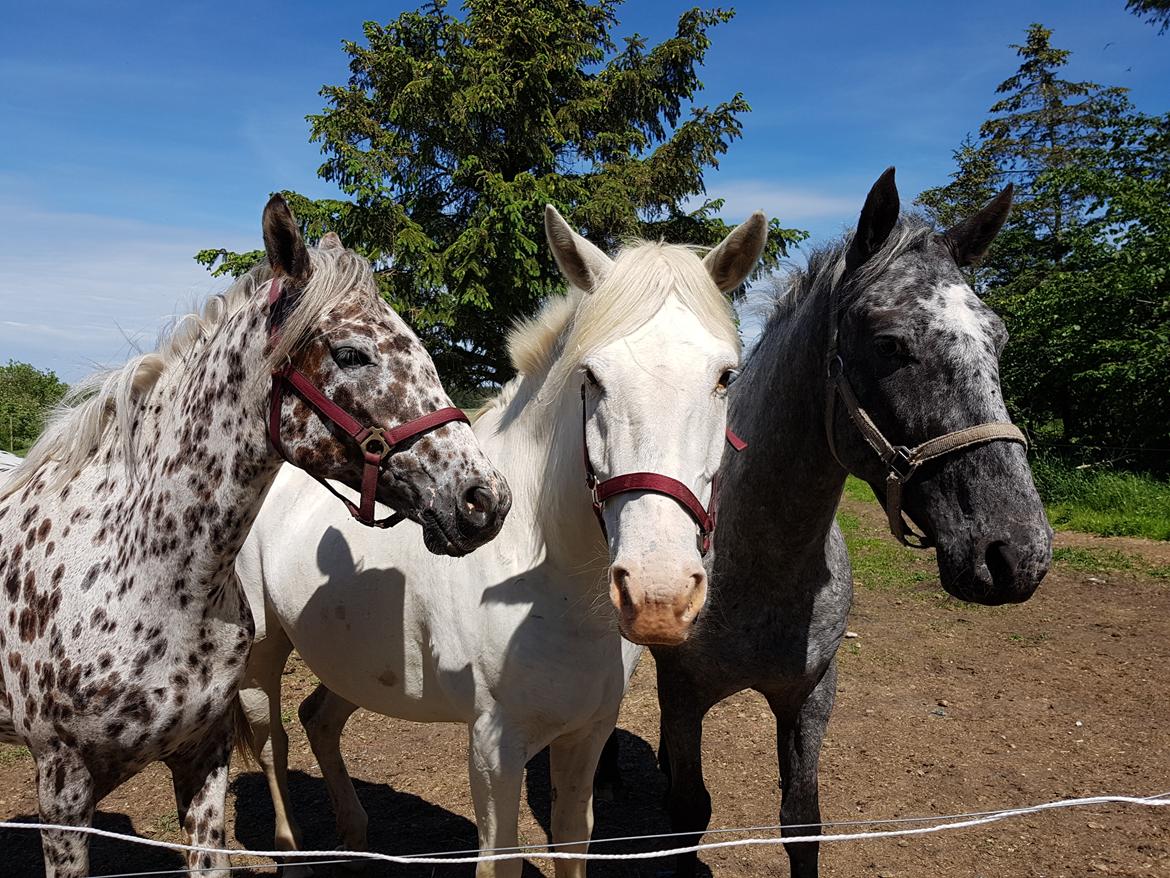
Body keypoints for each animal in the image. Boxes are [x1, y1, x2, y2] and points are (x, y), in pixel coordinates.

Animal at [235, 204, 767, 875]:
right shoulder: (494, 749)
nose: (658, 596)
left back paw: (354, 835)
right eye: (592, 377)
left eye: (725, 377)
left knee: (318, 721)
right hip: (261, 655)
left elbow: (572, 842)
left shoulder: (587, 736)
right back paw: (294, 852)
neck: (548, 588)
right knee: (271, 740)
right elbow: (502, 857)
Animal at [608, 168, 1057, 875]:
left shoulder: (810, 695)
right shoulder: (684, 693)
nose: (1016, 552)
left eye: (1000, 339)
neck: (757, 567)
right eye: (889, 344)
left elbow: (802, 821)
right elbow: (688, 814)